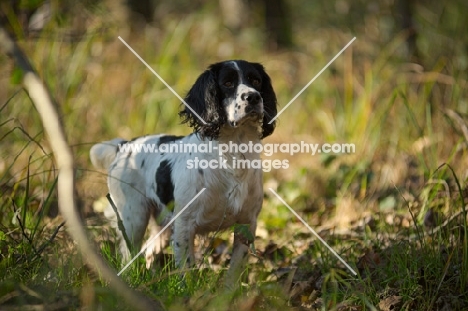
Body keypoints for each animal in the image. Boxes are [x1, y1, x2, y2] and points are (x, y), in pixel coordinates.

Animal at [89, 59, 276, 286]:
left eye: (256, 80)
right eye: (228, 82)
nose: (253, 97)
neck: (233, 152)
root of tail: (124, 145)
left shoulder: (246, 223)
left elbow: (235, 269)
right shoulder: (185, 224)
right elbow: (186, 269)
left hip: (162, 223)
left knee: (149, 250)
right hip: (134, 218)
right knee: (128, 254)